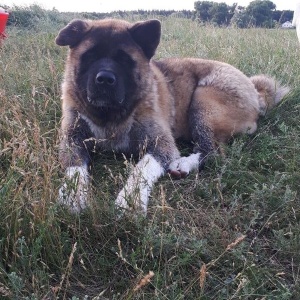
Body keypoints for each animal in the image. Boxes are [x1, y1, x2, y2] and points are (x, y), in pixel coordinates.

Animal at [55, 18, 290, 213]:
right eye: (90, 56)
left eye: (125, 60)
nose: (104, 79)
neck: (109, 115)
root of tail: (255, 91)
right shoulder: (71, 138)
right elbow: (75, 167)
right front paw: (73, 195)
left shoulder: (162, 145)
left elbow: (141, 170)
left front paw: (131, 200)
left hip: (203, 100)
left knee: (212, 151)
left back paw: (183, 164)